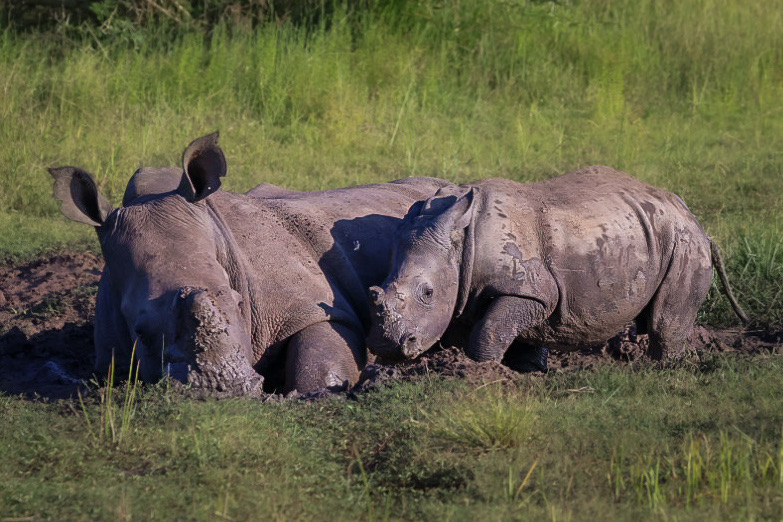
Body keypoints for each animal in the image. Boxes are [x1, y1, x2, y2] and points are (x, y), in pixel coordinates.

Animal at [50, 133, 453, 395]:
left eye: (239, 302)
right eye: (140, 330)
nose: (227, 388)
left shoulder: (318, 306)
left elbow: (322, 351)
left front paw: (315, 394)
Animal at [366, 167, 748, 369]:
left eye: (428, 293)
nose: (387, 348)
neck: (461, 241)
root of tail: (689, 213)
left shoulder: (531, 291)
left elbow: (490, 330)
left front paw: (484, 373)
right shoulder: (468, 293)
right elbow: (494, 330)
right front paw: (518, 373)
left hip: (683, 241)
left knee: (665, 321)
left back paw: (661, 371)